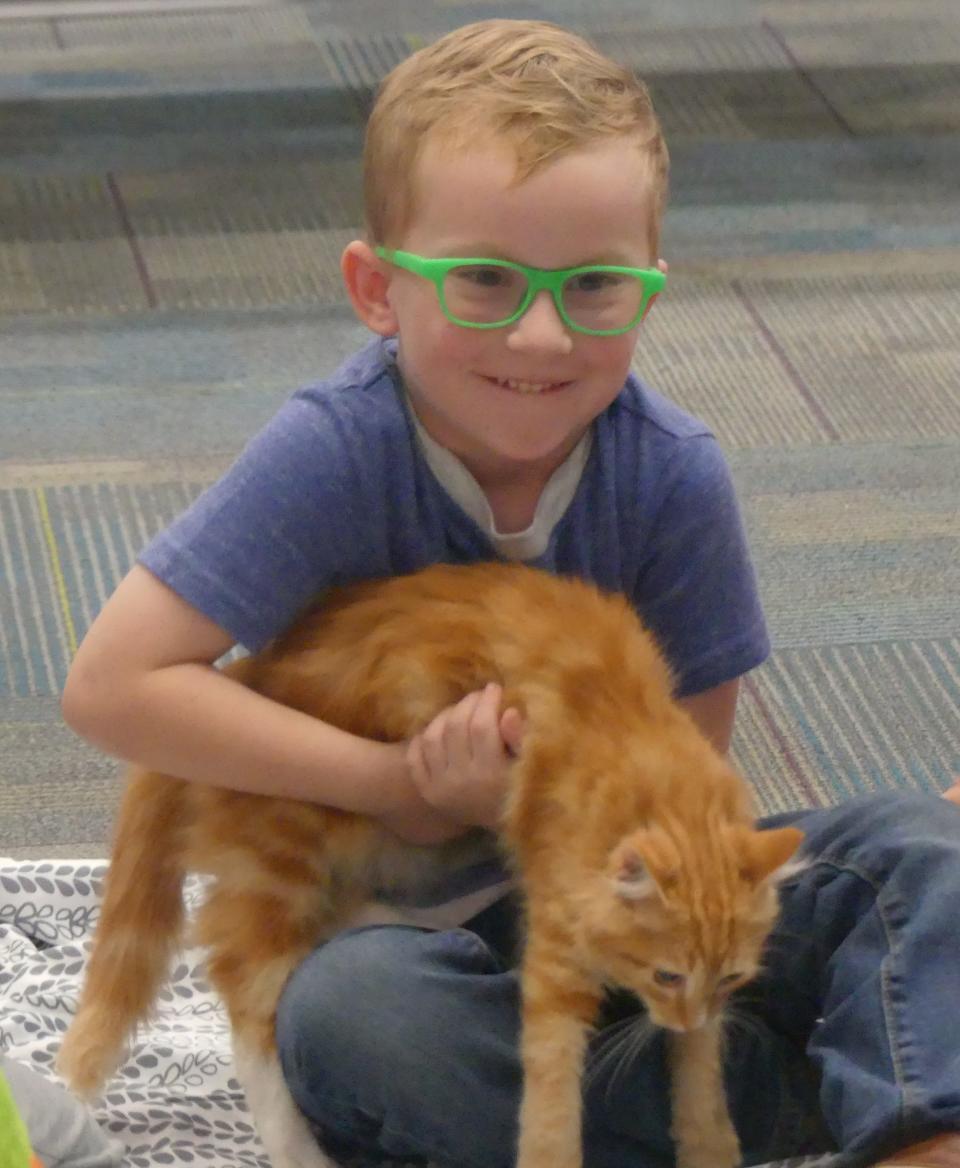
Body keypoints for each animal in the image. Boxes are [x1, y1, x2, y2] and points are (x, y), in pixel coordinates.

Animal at [58, 558, 803, 1168]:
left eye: (733, 977)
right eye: (665, 974)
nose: (689, 1016)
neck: (644, 757)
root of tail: (250, 674)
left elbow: (701, 1073)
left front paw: (709, 1140)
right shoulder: (557, 949)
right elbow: (552, 1092)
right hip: (282, 857)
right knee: (250, 1008)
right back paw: (300, 1149)